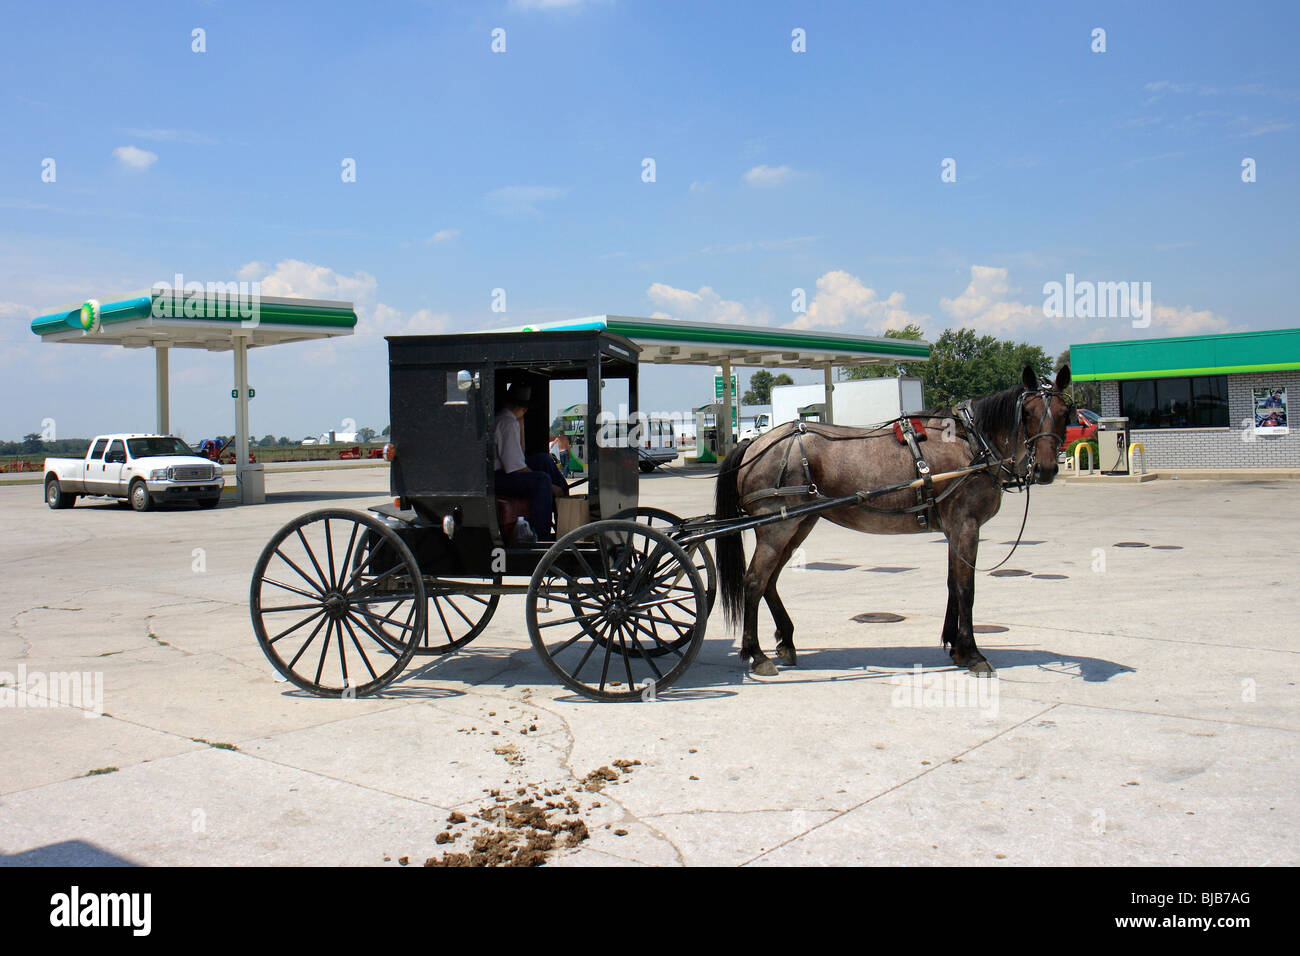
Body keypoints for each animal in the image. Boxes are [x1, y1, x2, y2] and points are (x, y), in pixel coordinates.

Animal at [717, 361, 1071, 676]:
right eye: (1028, 413)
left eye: (1065, 413)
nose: (1046, 469)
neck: (971, 443)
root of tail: (756, 443)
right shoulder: (966, 525)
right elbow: (966, 588)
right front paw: (972, 653)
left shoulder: (953, 530)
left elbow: (952, 584)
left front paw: (955, 647)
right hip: (777, 527)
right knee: (754, 581)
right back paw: (756, 654)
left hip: (799, 524)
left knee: (770, 581)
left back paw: (786, 641)